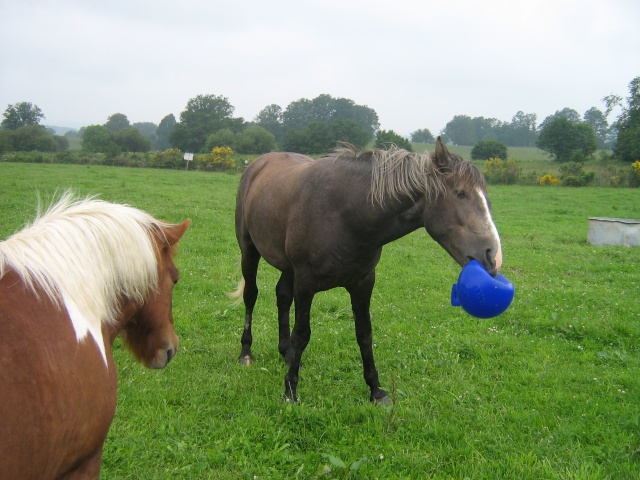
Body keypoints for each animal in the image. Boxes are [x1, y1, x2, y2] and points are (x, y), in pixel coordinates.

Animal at [232, 137, 502, 404]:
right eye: (460, 193)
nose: (494, 256)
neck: (345, 215)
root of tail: (257, 164)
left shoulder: (362, 283)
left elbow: (364, 333)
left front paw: (376, 390)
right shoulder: (305, 284)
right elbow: (302, 333)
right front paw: (290, 391)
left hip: (289, 268)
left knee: (282, 296)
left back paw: (286, 352)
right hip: (249, 251)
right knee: (251, 296)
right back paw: (245, 353)